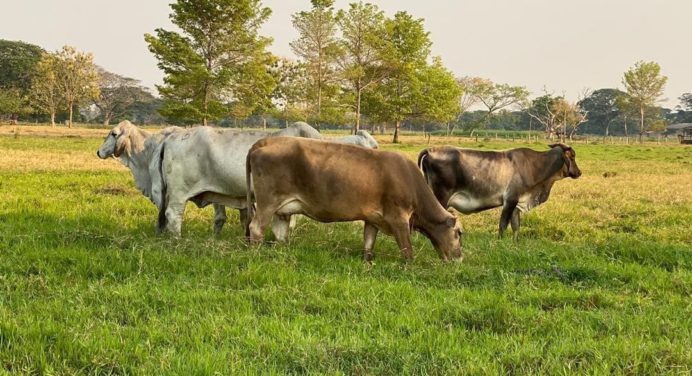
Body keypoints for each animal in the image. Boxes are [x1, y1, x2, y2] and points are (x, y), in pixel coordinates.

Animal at [246, 137, 462, 262]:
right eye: (459, 233)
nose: (460, 258)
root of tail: (266, 140)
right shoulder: (399, 218)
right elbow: (407, 248)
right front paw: (410, 266)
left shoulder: (373, 218)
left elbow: (369, 241)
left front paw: (368, 261)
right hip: (267, 201)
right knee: (256, 226)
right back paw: (256, 253)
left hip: (282, 209)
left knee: (279, 231)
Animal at [416, 143, 584, 238]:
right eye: (573, 156)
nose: (579, 172)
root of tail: (431, 150)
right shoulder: (510, 200)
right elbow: (503, 224)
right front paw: (499, 242)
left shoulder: (517, 203)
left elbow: (516, 226)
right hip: (440, 197)